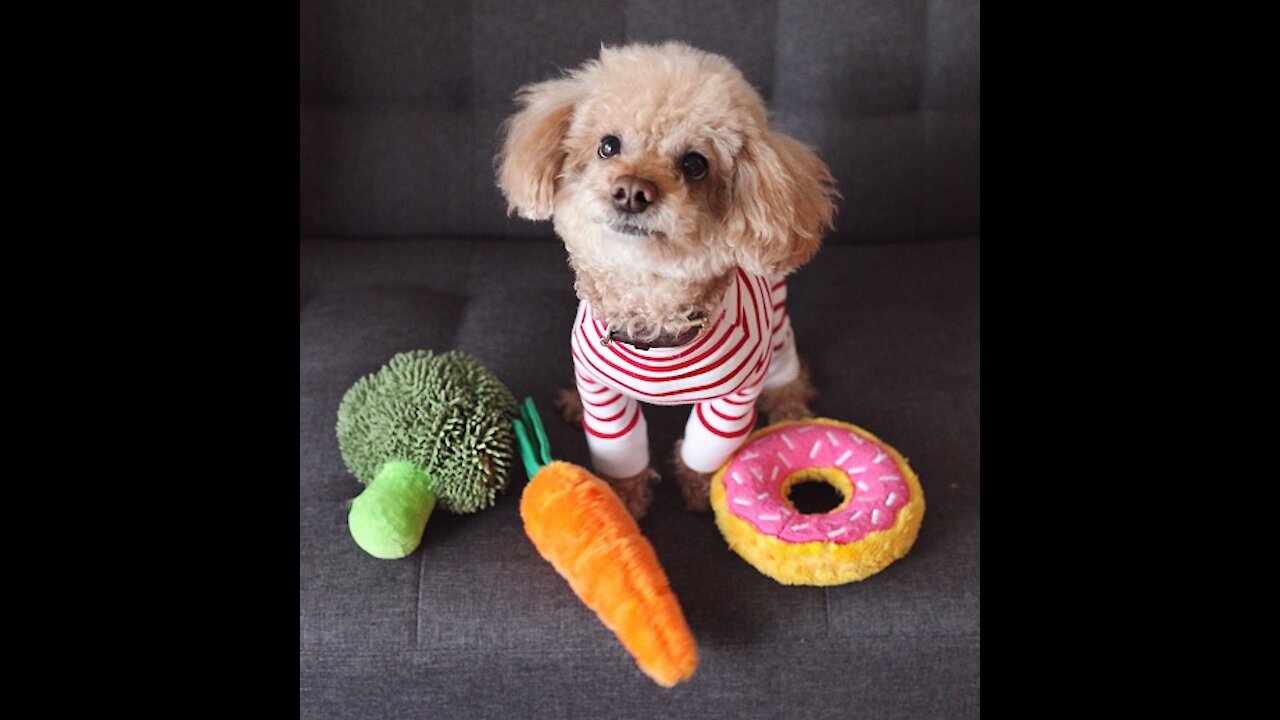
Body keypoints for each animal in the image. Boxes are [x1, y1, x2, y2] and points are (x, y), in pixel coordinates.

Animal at [494, 40, 834, 515]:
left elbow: (703, 449)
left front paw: (701, 490)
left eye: (695, 164)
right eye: (608, 146)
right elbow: (621, 452)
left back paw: (790, 407)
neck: (651, 315)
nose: (631, 191)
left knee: (788, 371)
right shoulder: (601, 392)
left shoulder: (732, 400)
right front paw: (619, 502)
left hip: (778, 330)